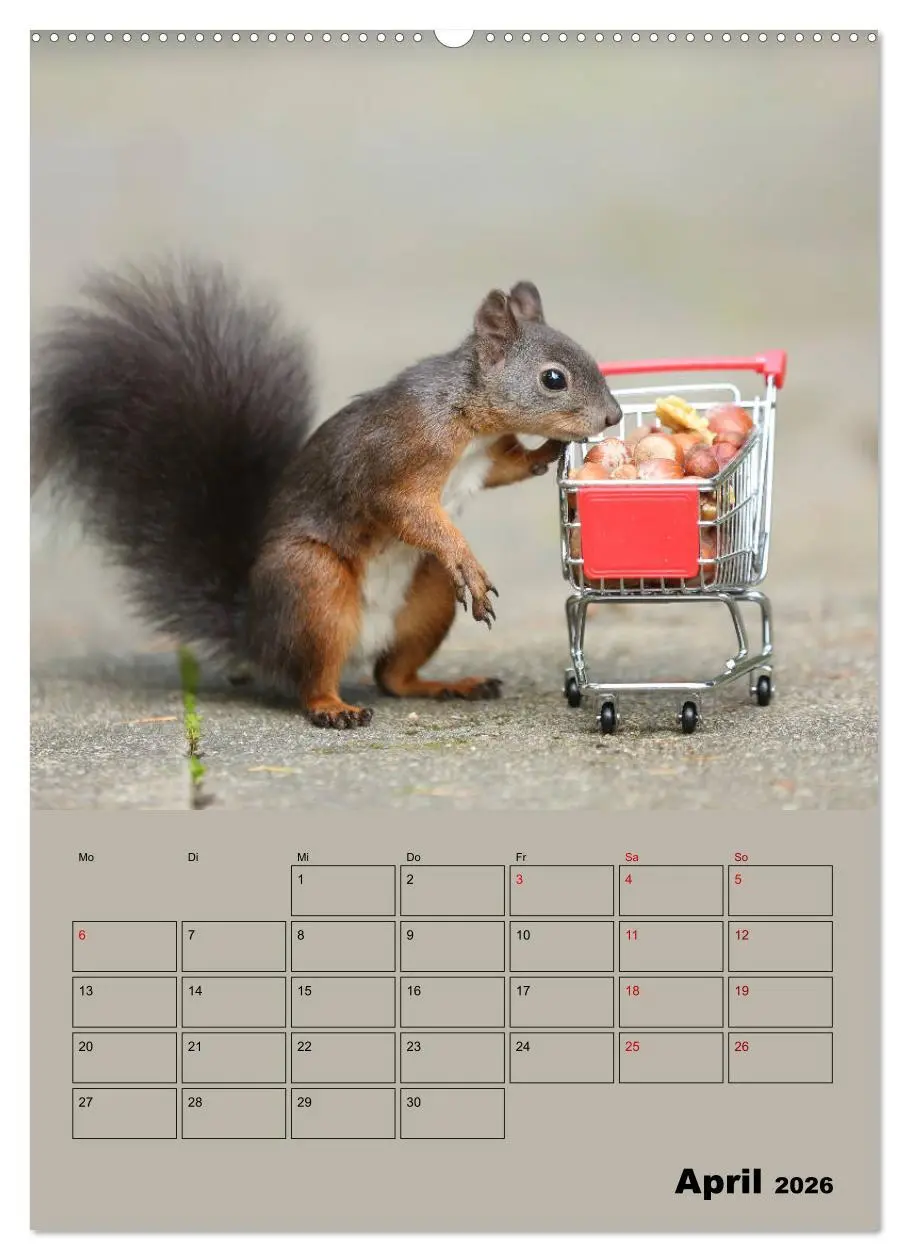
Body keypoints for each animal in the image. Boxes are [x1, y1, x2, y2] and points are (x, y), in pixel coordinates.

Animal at [32, 261, 622, 729]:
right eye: (553, 379)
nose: (614, 417)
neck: (465, 416)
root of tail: (255, 634)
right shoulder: (398, 462)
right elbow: (409, 512)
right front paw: (465, 559)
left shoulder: (487, 457)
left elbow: (510, 466)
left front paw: (553, 448)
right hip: (312, 586)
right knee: (311, 680)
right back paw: (333, 708)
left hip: (425, 596)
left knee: (393, 677)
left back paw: (450, 685)